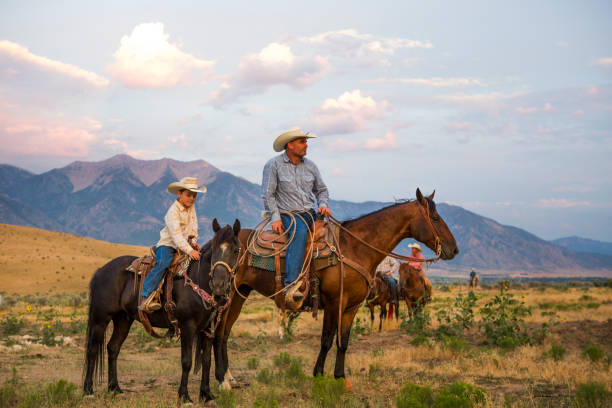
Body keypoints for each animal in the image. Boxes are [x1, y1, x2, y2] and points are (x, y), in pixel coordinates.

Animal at [83, 218, 241, 404]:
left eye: (236, 250)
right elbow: (186, 361)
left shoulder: (208, 328)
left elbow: (207, 361)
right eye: (215, 250)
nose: (218, 285)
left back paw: (115, 388)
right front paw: (184, 396)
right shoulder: (187, 326)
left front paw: (206, 395)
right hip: (101, 319)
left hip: (123, 319)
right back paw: (88, 390)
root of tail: (101, 270)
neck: (198, 280)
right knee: (92, 350)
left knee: (113, 348)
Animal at [213, 188, 456, 388]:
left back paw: (230, 378)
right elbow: (327, 340)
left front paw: (340, 377)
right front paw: (319, 375)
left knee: (225, 334)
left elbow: (344, 341)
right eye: (435, 217)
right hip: (227, 296)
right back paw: (221, 381)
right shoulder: (332, 303)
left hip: (240, 295)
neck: (354, 248)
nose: (454, 248)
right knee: (218, 332)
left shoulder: (351, 307)